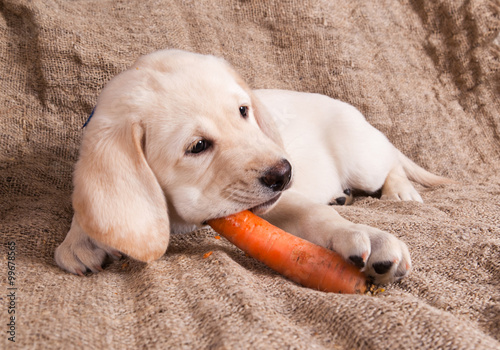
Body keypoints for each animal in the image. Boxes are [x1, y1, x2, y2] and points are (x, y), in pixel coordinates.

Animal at [54, 49, 454, 284]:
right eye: (197, 146)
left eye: (243, 111)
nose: (285, 173)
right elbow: (89, 206)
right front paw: (79, 239)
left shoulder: (280, 202)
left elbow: (316, 215)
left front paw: (366, 236)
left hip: (363, 158)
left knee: (390, 161)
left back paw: (400, 191)